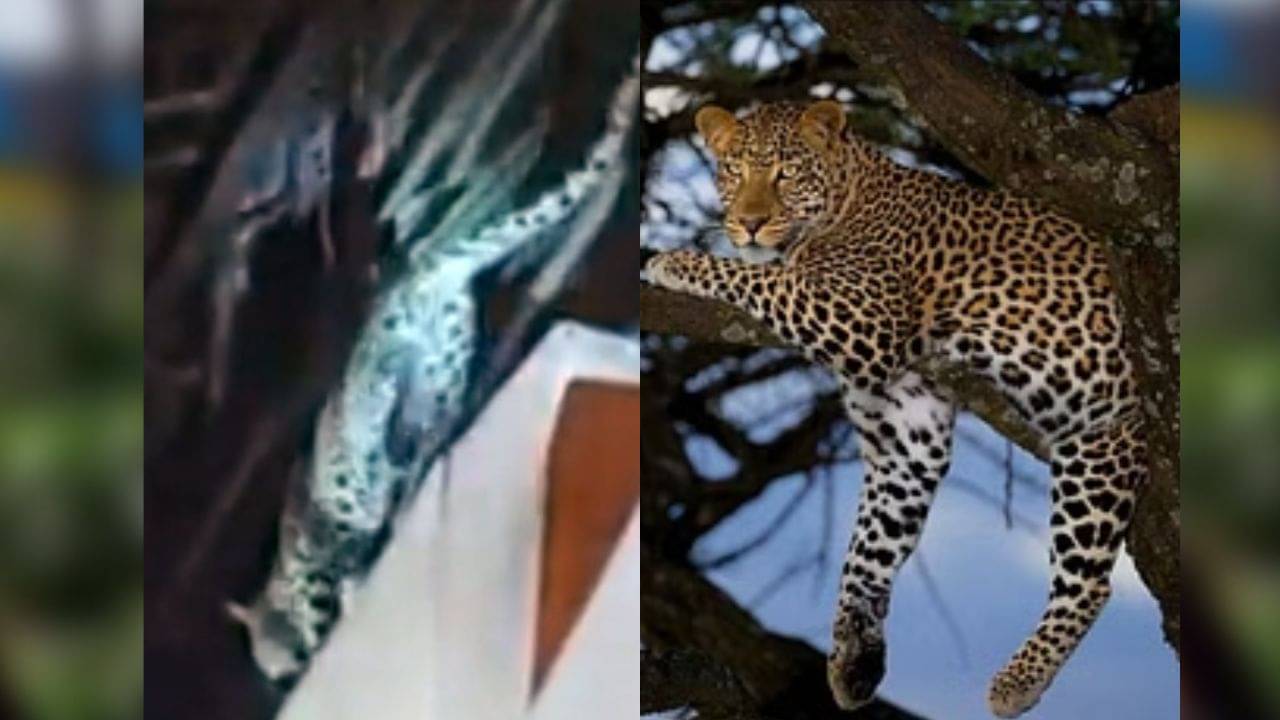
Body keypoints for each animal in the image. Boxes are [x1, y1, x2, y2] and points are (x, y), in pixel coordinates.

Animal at [645, 99, 1148, 718]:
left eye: (786, 174)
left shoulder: (859, 313)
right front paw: (852, 658)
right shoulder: (909, 430)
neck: (849, 194)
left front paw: (672, 261)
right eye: (734, 173)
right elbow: (869, 547)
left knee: (1088, 582)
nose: (750, 222)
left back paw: (1017, 682)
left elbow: (756, 276)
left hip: (1100, 440)